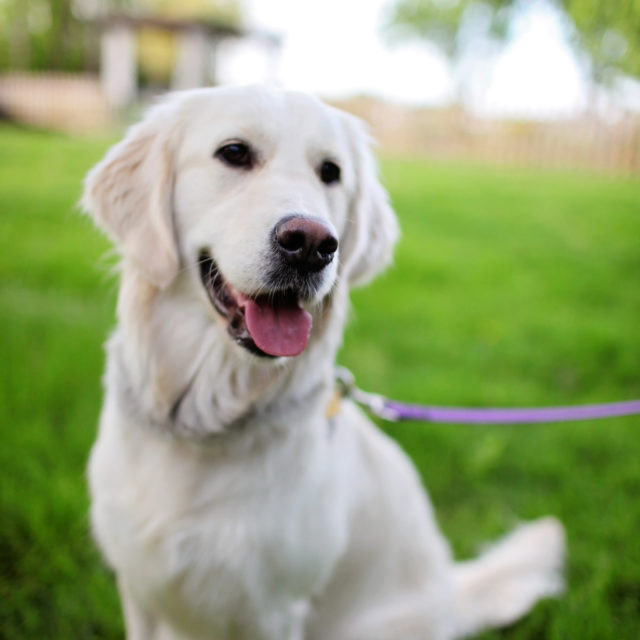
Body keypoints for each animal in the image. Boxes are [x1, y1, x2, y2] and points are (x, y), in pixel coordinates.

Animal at [81, 86, 564, 640]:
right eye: (234, 153)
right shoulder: (137, 586)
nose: (312, 244)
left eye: (330, 172)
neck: (204, 421)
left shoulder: (274, 609)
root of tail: (449, 591)